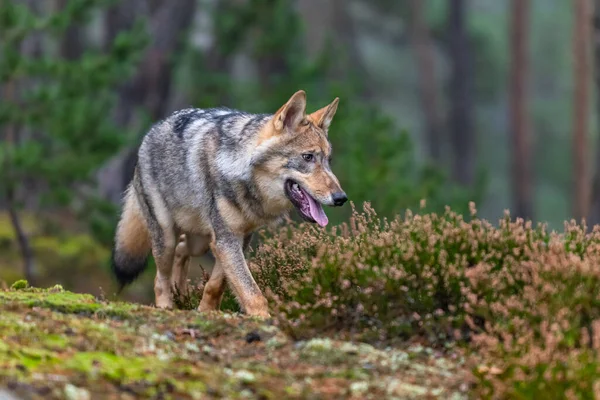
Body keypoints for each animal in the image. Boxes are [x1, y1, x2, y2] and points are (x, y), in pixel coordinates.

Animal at [110, 90, 346, 316]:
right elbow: (252, 293)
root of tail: (151, 132)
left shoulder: (238, 238)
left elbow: (216, 285)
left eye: (328, 161)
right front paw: (263, 319)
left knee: (182, 249)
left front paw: (206, 311)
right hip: (166, 239)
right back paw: (167, 306)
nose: (341, 198)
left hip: (200, 242)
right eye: (308, 157)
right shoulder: (226, 239)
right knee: (160, 279)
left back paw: (182, 296)